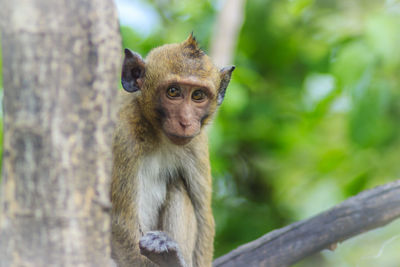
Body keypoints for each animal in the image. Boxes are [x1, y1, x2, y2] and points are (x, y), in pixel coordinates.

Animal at [109, 34, 234, 267]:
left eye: (198, 95)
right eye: (173, 91)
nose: (185, 121)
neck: (157, 134)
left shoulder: (196, 144)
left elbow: (203, 216)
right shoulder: (122, 133)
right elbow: (120, 222)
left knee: (178, 185)